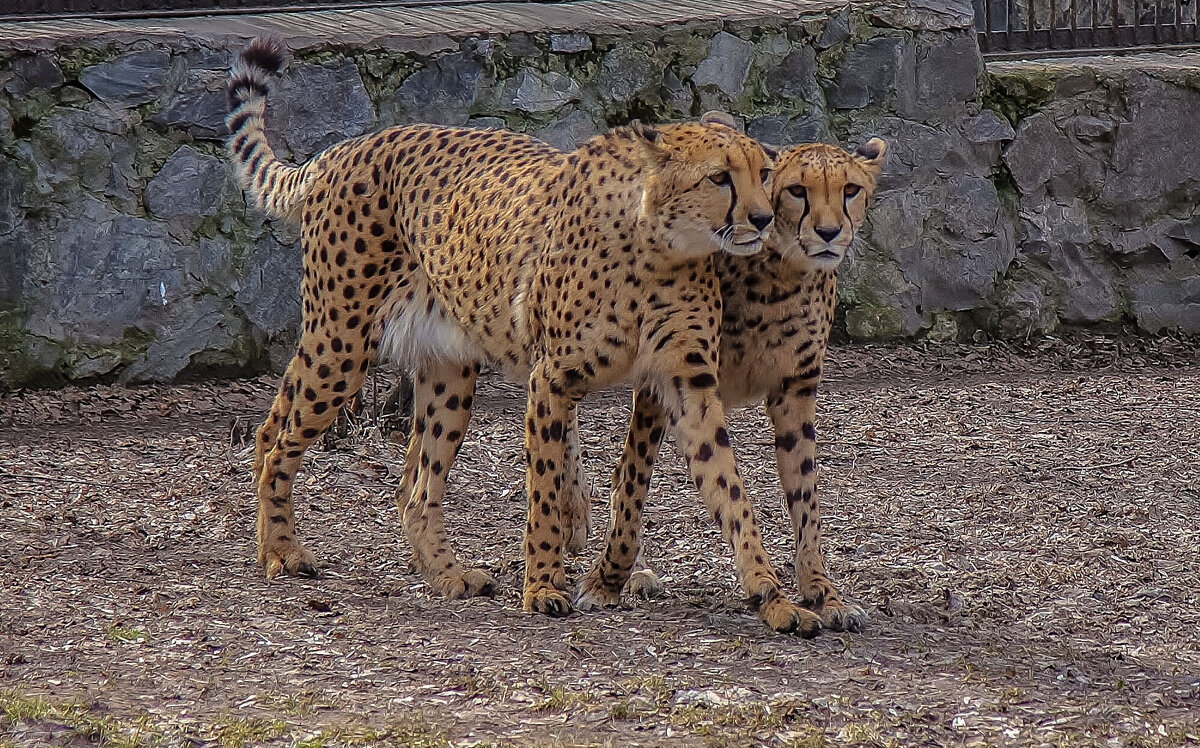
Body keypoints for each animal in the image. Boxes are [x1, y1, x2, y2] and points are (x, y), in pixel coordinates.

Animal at [226, 36, 816, 633]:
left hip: (445, 370)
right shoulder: (551, 380)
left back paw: (446, 575)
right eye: (719, 177)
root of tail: (348, 147)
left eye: (764, 173)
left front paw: (773, 594)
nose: (763, 219)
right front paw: (543, 584)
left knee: (405, 485)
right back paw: (280, 549)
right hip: (342, 342)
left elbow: (731, 489)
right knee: (282, 443)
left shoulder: (686, 385)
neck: (661, 246)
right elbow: (545, 487)